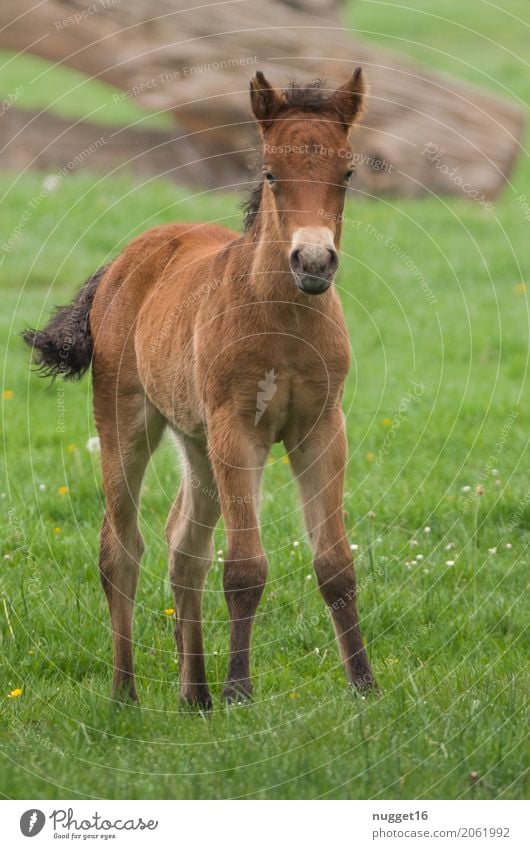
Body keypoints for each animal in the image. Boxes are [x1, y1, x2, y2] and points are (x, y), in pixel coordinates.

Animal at [24, 68, 376, 704]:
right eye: (270, 172)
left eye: (348, 173)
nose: (314, 261)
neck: (283, 318)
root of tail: (122, 261)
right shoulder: (237, 430)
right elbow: (244, 568)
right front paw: (240, 691)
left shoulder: (321, 428)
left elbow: (336, 564)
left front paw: (364, 687)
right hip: (127, 422)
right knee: (121, 549)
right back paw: (127, 694)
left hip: (196, 441)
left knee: (184, 546)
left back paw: (196, 698)